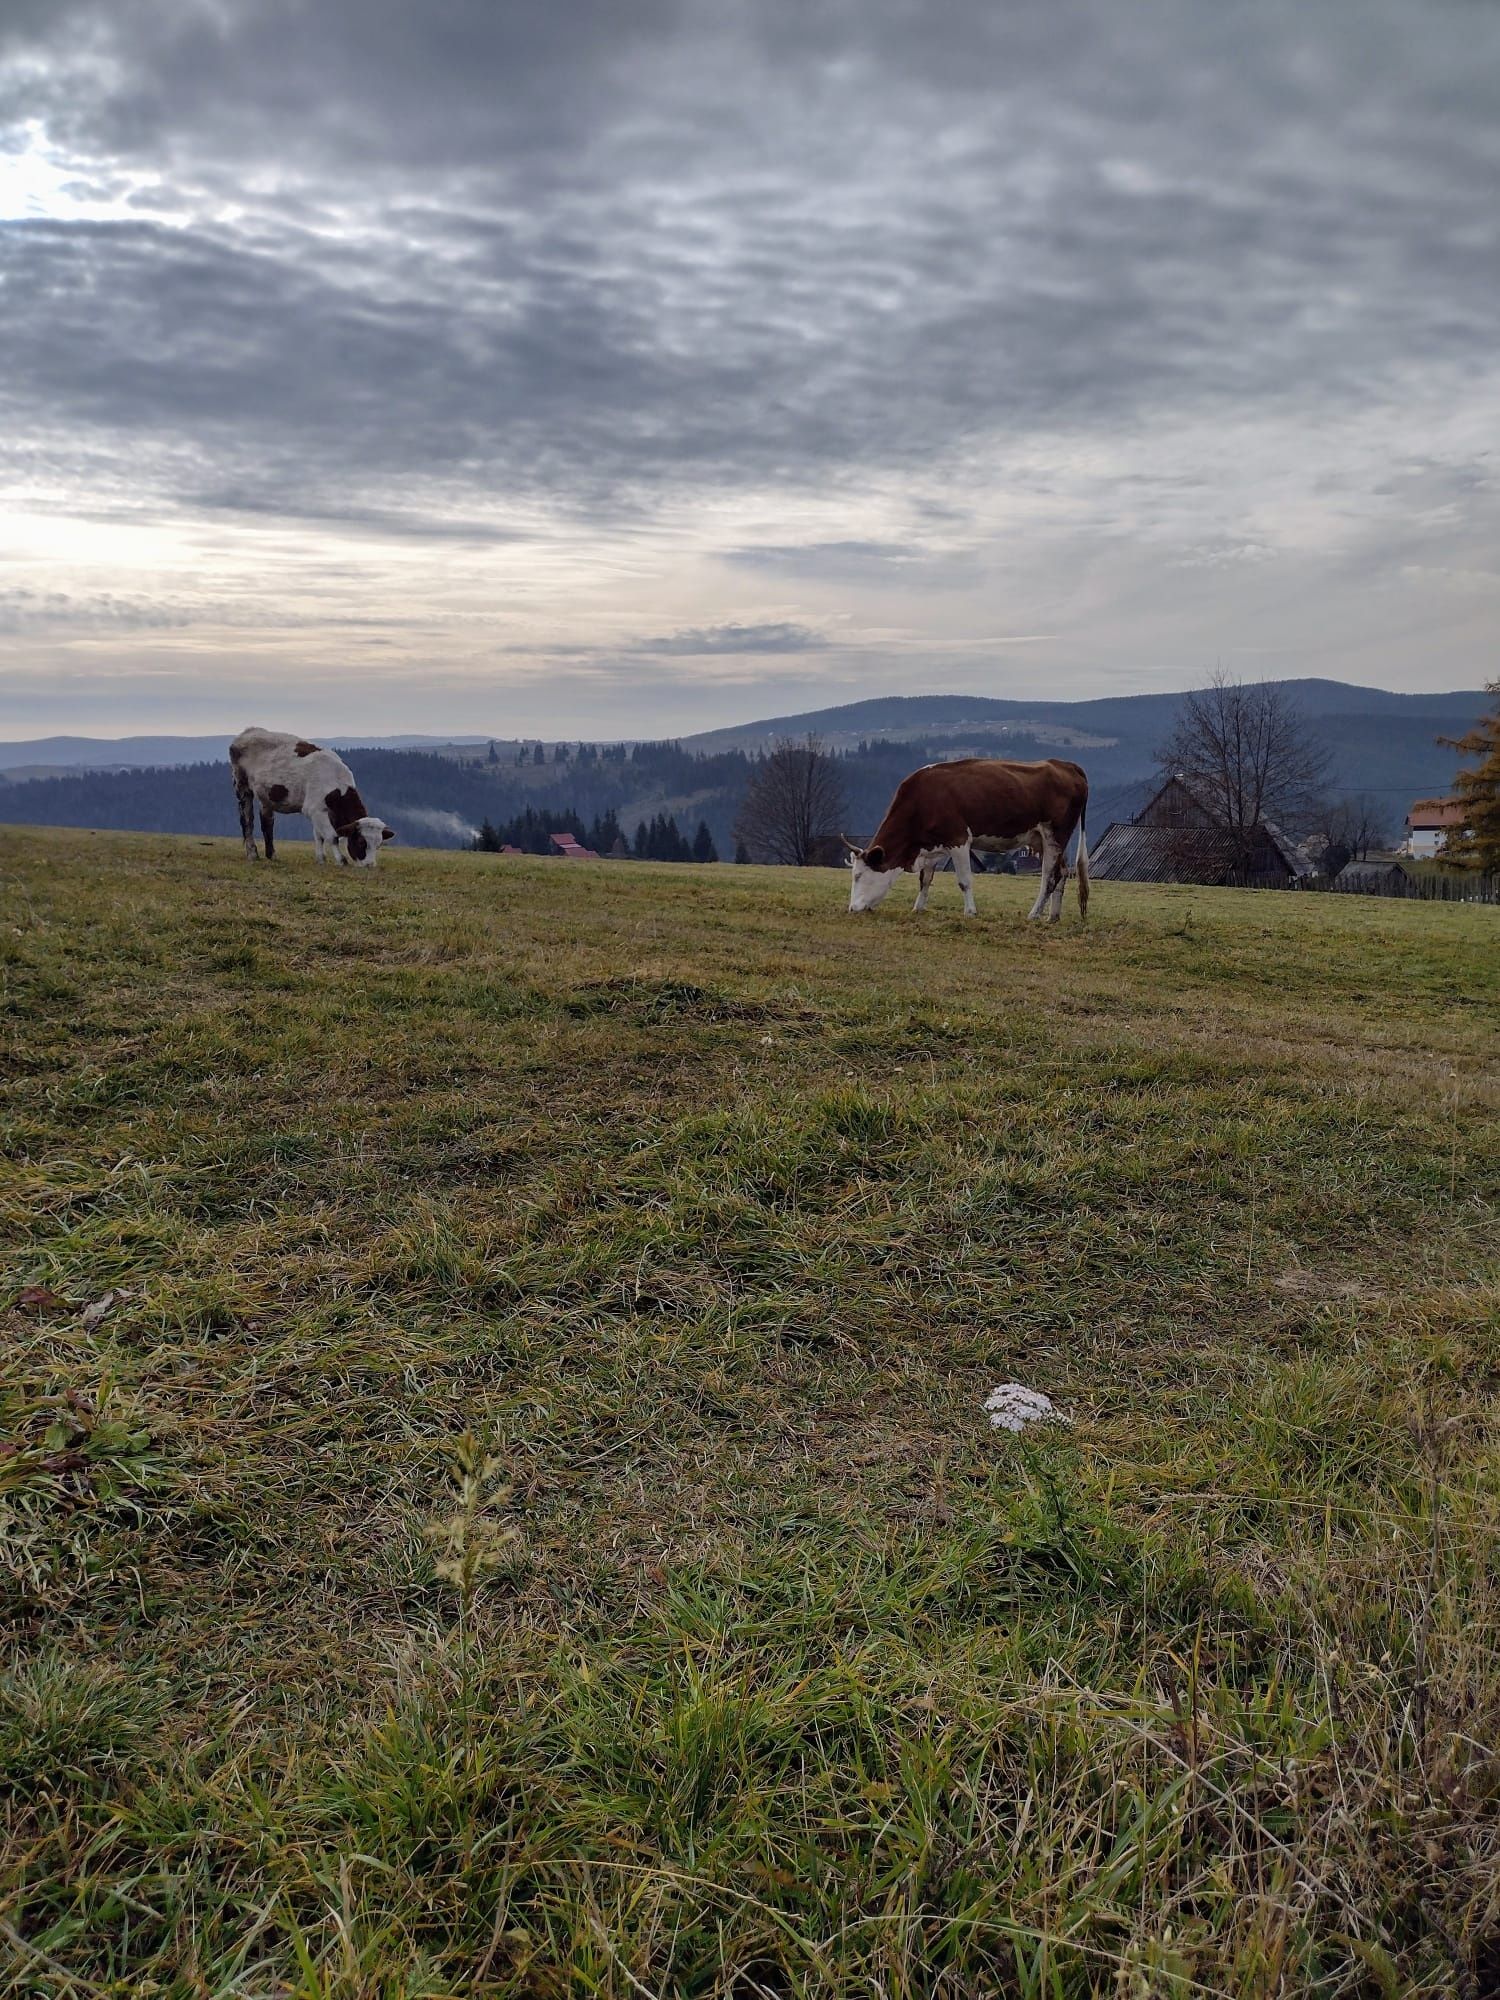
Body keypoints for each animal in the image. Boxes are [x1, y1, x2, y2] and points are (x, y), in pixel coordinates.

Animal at [228, 728, 394, 868]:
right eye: (361, 842)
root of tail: (248, 731)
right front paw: (341, 860)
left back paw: (272, 855)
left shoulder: (321, 811)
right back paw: (252, 854)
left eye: (379, 844)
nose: (370, 865)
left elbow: (319, 836)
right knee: (247, 821)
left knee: (267, 822)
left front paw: (321, 859)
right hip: (242, 786)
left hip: (267, 796)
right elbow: (332, 836)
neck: (336, 784)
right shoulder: (315, 809)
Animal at [848, 756, 1096, 920]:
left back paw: (1034, 914)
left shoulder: (958, 840)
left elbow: (964, 880)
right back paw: (1053, 916)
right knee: (1062, 873)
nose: (851, 908)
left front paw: (970, 912)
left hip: (1055, 834)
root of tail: (1065, 765)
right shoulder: (932, 844)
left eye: (858, 876)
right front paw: (918, 907)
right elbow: (925, 879)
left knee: (1049, 876)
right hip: (1045, 840)